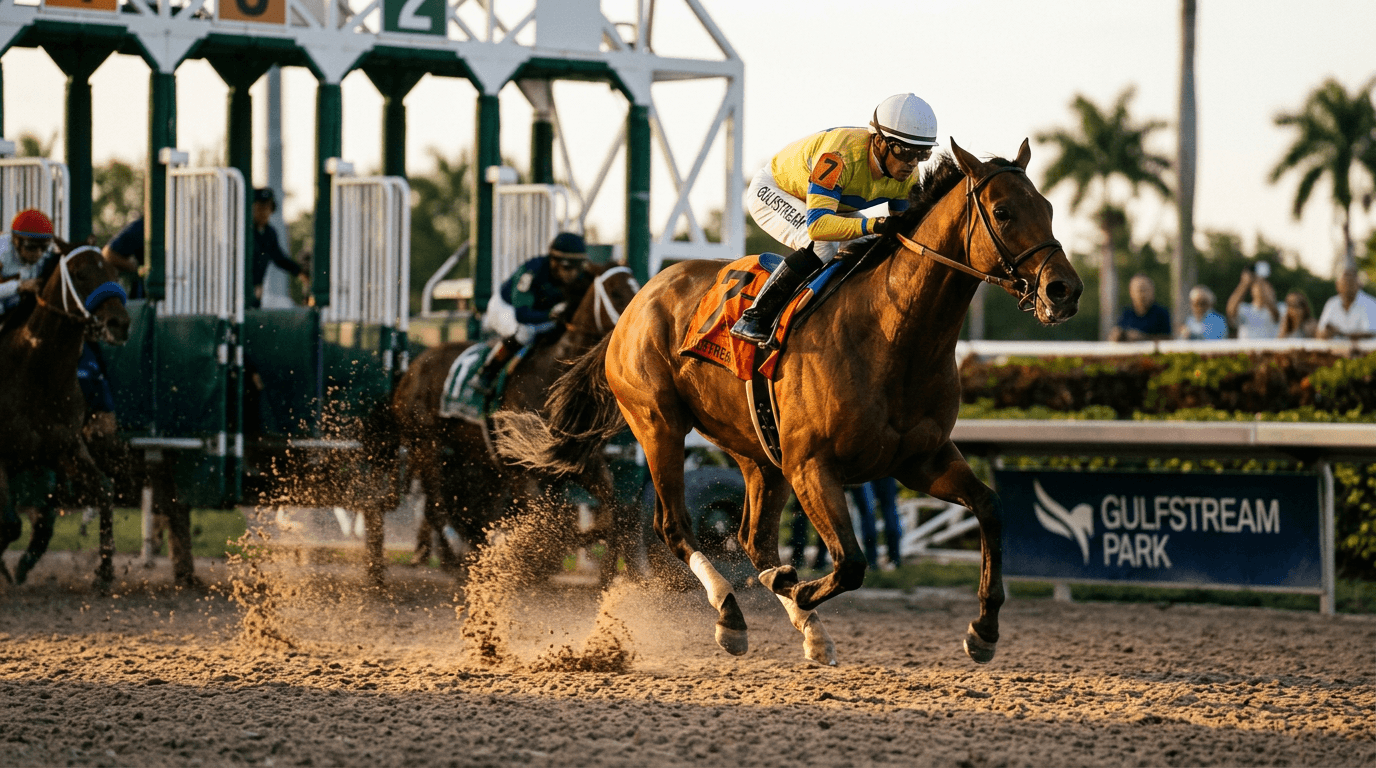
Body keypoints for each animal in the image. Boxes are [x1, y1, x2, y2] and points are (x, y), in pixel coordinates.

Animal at [0, 245, 131, 586]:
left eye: (113, 273)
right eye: (81, 273)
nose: (120, 323)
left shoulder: (64, 447)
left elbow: (105, 490)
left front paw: (105, 571)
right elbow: (10, 524)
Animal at [380, 262, 640, 583]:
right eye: (616, 291)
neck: (550, 374)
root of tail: (411, 369)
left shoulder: (581, 465)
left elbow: (613, 511)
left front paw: (614, 574)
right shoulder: (521, 471)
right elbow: (552, 526)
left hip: (465, 457)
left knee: (446, 507)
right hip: (426, 444)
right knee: (438, 506)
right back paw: (458, 562)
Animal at [495, 140, 1082, 665]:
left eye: (1050, 208)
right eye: (1003, 212)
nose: (1065, 291)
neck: (893, 334)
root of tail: (637, 302)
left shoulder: (921, 460)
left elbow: (990, 507)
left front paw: (984, 629)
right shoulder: (812, 466)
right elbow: (851, 563)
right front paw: (799, 590)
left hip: (757, 451)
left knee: (752, 539)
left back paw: (805, 625)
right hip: (659, 424)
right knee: (675, 526)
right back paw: (732, 614)